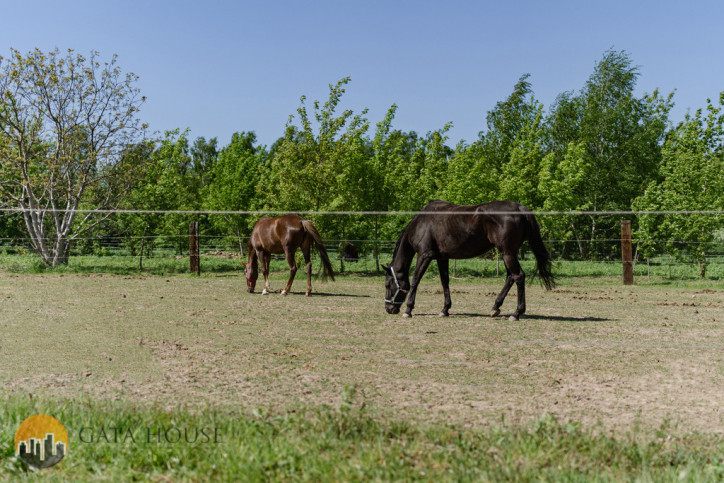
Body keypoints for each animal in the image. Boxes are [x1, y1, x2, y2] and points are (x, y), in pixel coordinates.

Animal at [384, 200, 556, 322]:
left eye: (388, 284)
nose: (388, 309)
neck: (422, 223)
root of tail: (520, 208)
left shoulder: (425, 255)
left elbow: (415, 280)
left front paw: (408, 310)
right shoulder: (442, 258)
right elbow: (445, 282)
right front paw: (445, 310)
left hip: (507, 253)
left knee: (518, 276)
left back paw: (516, 313)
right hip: (508, 254)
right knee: (510, 277)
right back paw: (495, 307)